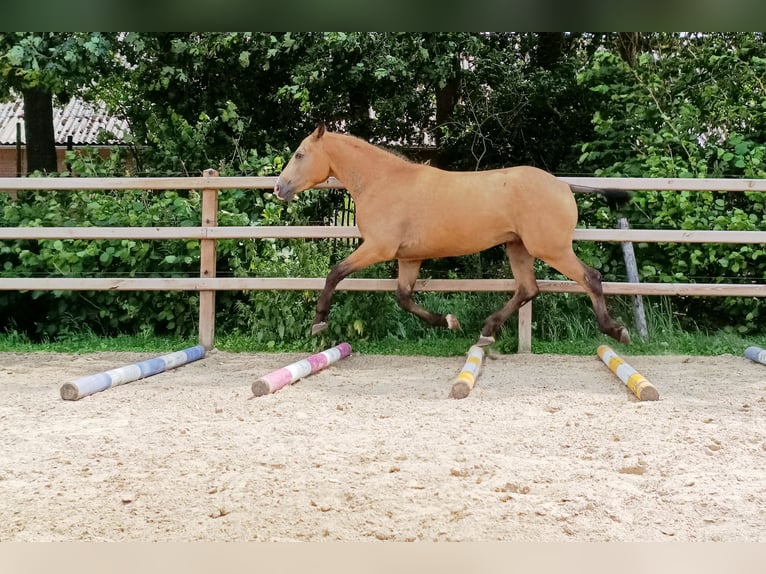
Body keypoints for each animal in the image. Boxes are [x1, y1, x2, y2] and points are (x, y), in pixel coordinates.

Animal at [274, 123, 630, 348]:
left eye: (300, 154)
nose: (279, 188)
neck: (383, 181)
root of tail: (563, 185)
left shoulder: (378, 248)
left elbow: (335, 273)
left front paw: (318, 322)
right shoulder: (409, 258)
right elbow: (404, 298)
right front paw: (448, 321)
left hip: (551, 249)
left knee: (590, 278)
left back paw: (616, 331)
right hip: (518, 248)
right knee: (528, 289)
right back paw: (486, 331)